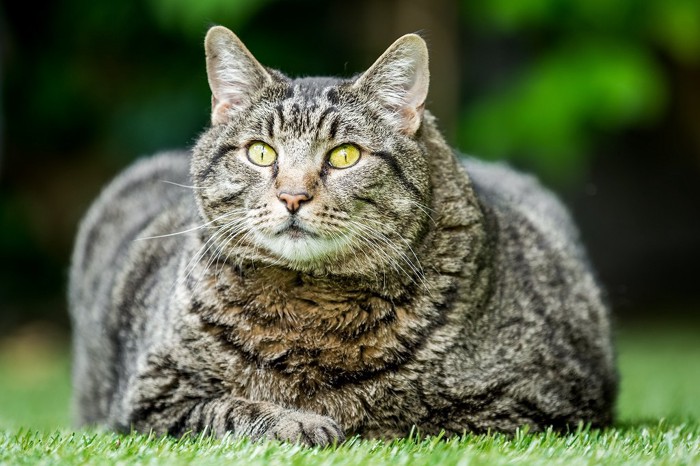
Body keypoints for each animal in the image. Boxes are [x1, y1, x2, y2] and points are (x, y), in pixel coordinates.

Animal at [69, 26, 616, 448]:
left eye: (345, 155)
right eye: (262, 153)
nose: (292, 196)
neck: (311, 305)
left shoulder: (538, 400)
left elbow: (414, 417)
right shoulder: (154, 395)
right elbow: (229, 409)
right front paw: (299, 422)